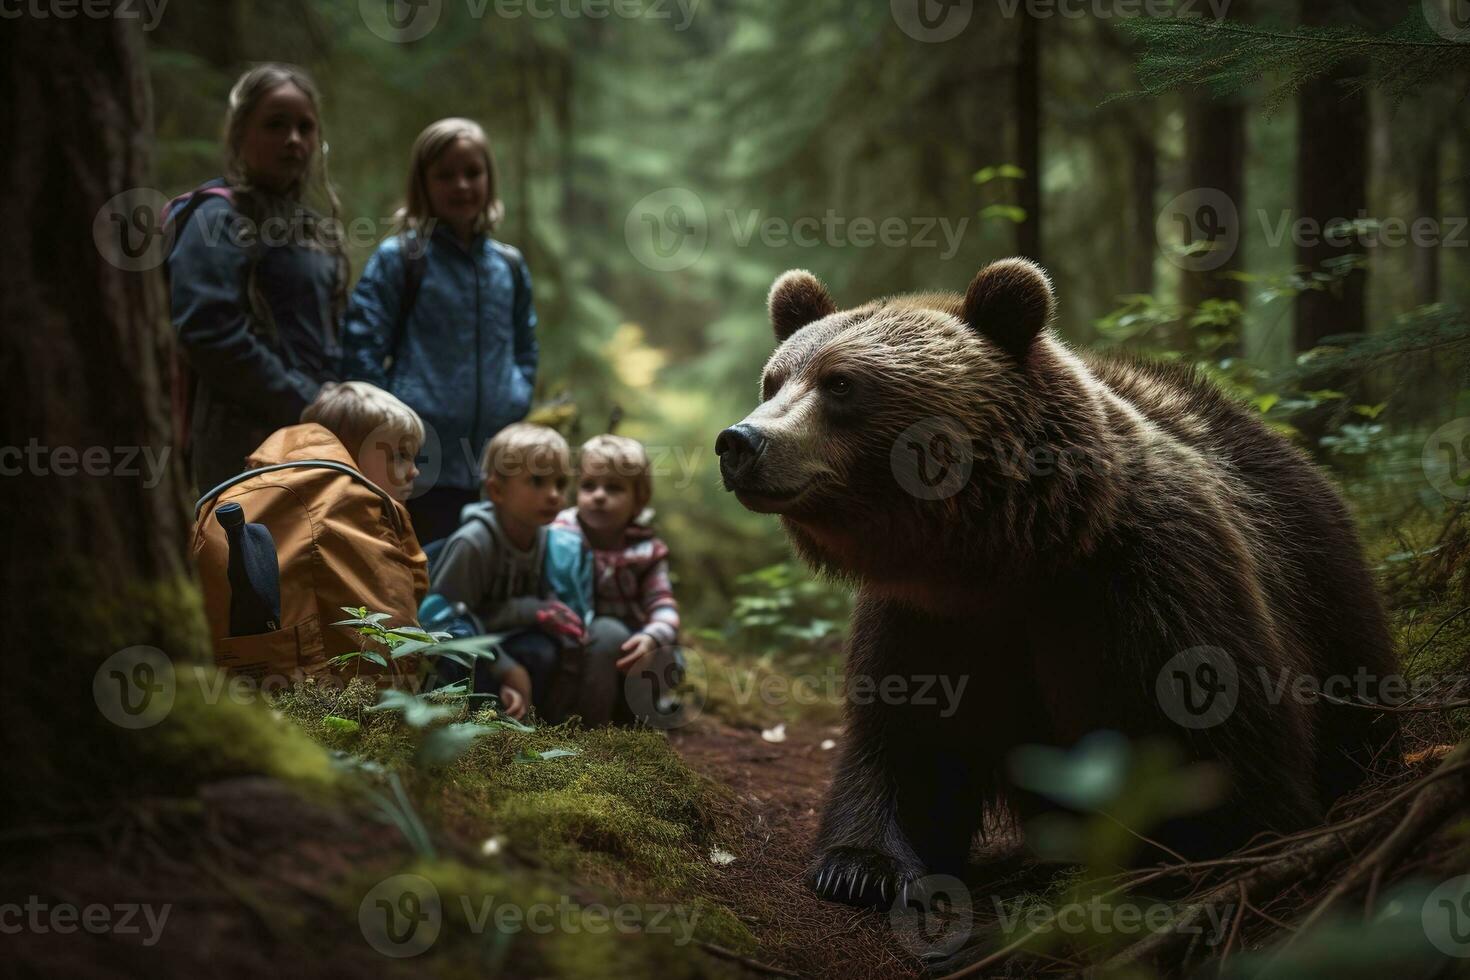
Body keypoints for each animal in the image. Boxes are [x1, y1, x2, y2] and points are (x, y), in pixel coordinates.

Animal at [717, 257, 1393, 910]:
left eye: (841, 383)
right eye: (774, 380)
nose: (740, 441)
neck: (1006, 557)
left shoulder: (1152, 583)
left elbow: (1220, 743)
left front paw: (1205, 854)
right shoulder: (925, 617)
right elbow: (908, 737)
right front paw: (861, 867)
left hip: (1327, 589)